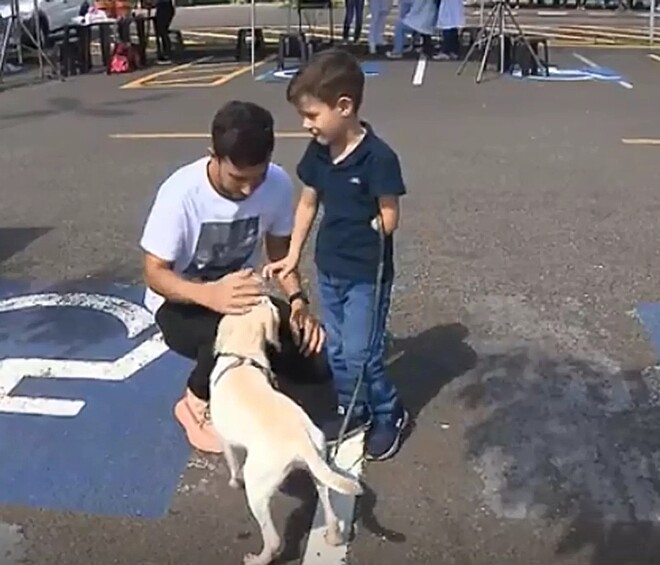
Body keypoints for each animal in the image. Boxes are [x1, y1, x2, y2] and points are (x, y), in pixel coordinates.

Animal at [209, 298, 364, 560]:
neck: (243, 355)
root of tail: (300, 439)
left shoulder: (223, 438)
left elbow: (232, 463)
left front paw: (233, 482)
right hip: (319, 470)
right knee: (329, 510)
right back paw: (333, 537)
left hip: (257, 488)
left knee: (273, 540)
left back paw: (257, 559)